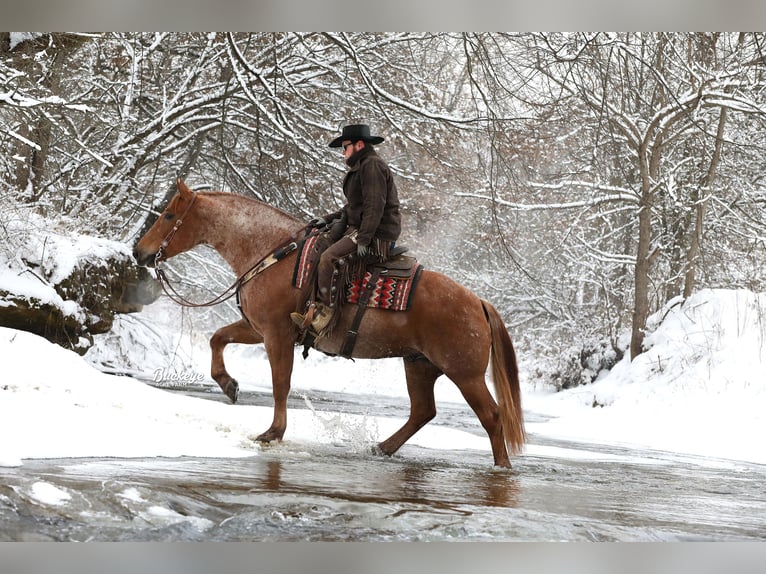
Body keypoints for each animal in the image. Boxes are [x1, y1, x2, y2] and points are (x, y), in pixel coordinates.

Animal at [134, 179, 528, 468]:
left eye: (168, 215)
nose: (140, 252)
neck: (272, 253)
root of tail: (478, 303)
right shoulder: (258, 328)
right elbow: (217, 338)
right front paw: (228, 384)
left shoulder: (276, 333)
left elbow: (281, 383)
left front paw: (272, 432)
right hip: (419, 365)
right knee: (423, 411)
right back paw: (381, 448)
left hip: (465, 374)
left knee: (492, 416)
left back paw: (501, 468)